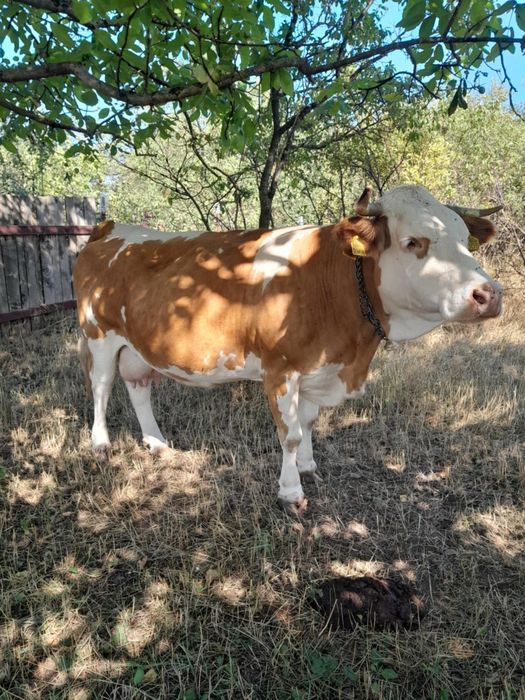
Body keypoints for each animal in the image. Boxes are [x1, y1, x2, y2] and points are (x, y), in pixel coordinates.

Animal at [73, 185, 502, 512]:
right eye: (413, 242)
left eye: (465, 241)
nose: (489, 294)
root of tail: (110, 228)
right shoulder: (280, 369)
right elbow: (291, 433)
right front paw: (291, 490)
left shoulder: (318, 368)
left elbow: (309, 423)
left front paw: (309, 466)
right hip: (98, 335)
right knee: (101, 387)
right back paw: (101, 443)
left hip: (135, 344)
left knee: (138, 386)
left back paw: (157, 442)